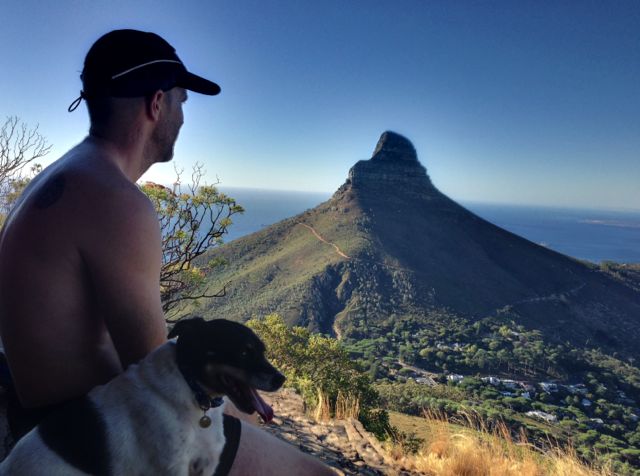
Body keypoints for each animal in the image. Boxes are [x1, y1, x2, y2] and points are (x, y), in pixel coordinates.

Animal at [0, 318, 285, 475]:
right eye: (244, 353)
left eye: (262, 351)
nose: (281, 379)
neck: (194, 393)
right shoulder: (171, 470)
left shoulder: (206, 464)